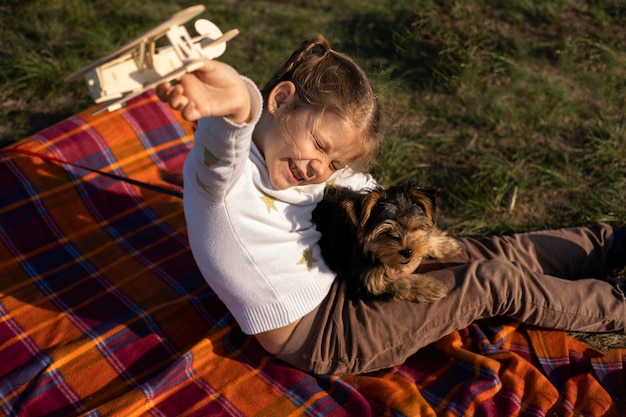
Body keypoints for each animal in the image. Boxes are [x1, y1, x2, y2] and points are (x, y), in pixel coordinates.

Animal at [310, 184, 458, 300]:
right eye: (386, 234)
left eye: (415, 228)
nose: (408, 252)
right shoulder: (368, 277)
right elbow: (396, 282)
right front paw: (431, 287)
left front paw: (447, 246)